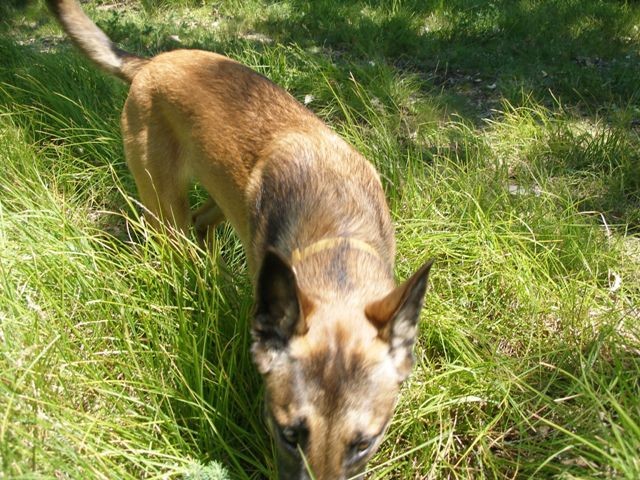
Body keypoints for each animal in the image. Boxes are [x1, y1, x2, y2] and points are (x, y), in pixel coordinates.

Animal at [45, 1, 436, 478]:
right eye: (289, 435)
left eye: (364, 444)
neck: (337, 242)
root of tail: (152, 62)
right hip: (166, 209)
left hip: (219, 200)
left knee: (203, 225)